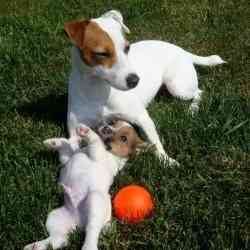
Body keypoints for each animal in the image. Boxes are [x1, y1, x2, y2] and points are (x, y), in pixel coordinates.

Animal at [23, 119, 146, 250]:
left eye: (124, 138)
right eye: (112, 123)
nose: (106, 128)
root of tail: (79, 223)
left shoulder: (99, 155)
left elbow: (95, 141)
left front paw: (86, 131)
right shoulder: (66, 159)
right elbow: (66, 145)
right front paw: (54, 142)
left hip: (95, 200)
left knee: (92, 229)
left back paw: (88, 246)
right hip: (54, 217)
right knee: (60, 239)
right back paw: (35, 246)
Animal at [64, 10, 225, 166]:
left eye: (127, 48)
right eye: (101, 54)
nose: (135, 80)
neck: (98, 90)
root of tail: (181, 50)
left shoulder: (142, 118)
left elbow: (155, 142)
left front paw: (167, 161)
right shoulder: (74, 132)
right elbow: (71, 150)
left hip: (178, 88)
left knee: (199, 92)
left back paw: (193, 109)